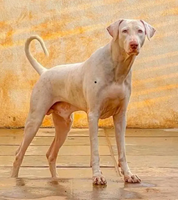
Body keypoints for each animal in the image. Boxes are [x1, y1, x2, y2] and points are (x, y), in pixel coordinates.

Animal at [11, 18, 155, 184]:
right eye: (124, 31)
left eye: (140, 31)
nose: (133, 44)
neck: (117, 68)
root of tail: (44, 72)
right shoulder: (93, 115)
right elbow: (95, 151)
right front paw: (97, 176)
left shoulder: (120, 116)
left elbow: (122, 151)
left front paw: (128, 175)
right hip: (34, 121)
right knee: (19, 154)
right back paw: (13, 179)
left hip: (64, 125)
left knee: (51, 154)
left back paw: (56, 179)